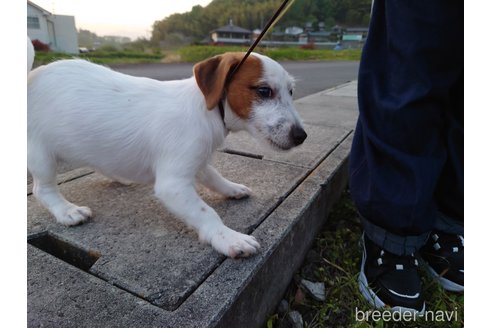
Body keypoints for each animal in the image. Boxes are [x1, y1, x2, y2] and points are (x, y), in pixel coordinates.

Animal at [26, 47, 306, 260]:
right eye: (264, 91)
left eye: (292, 91)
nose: (302, 136)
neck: (208, 111)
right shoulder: (173, 184)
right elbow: (206, 212)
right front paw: (228, 237)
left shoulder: (196, 160)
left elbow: (214, 177)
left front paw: (231, 189)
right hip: (40, 153)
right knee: (43, 189)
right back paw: (66, 211)